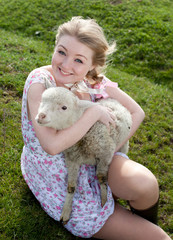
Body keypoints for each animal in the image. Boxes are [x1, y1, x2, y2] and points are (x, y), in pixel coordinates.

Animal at [35, 83, 132, 223]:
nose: (41, 116)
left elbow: (101, 177)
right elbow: (71, 186)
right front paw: (66, 211)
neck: (85, 132)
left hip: (124, 144)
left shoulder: (106, 153)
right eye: (42, 100)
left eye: (64, 107)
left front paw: (104, 200)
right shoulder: (72, 159)